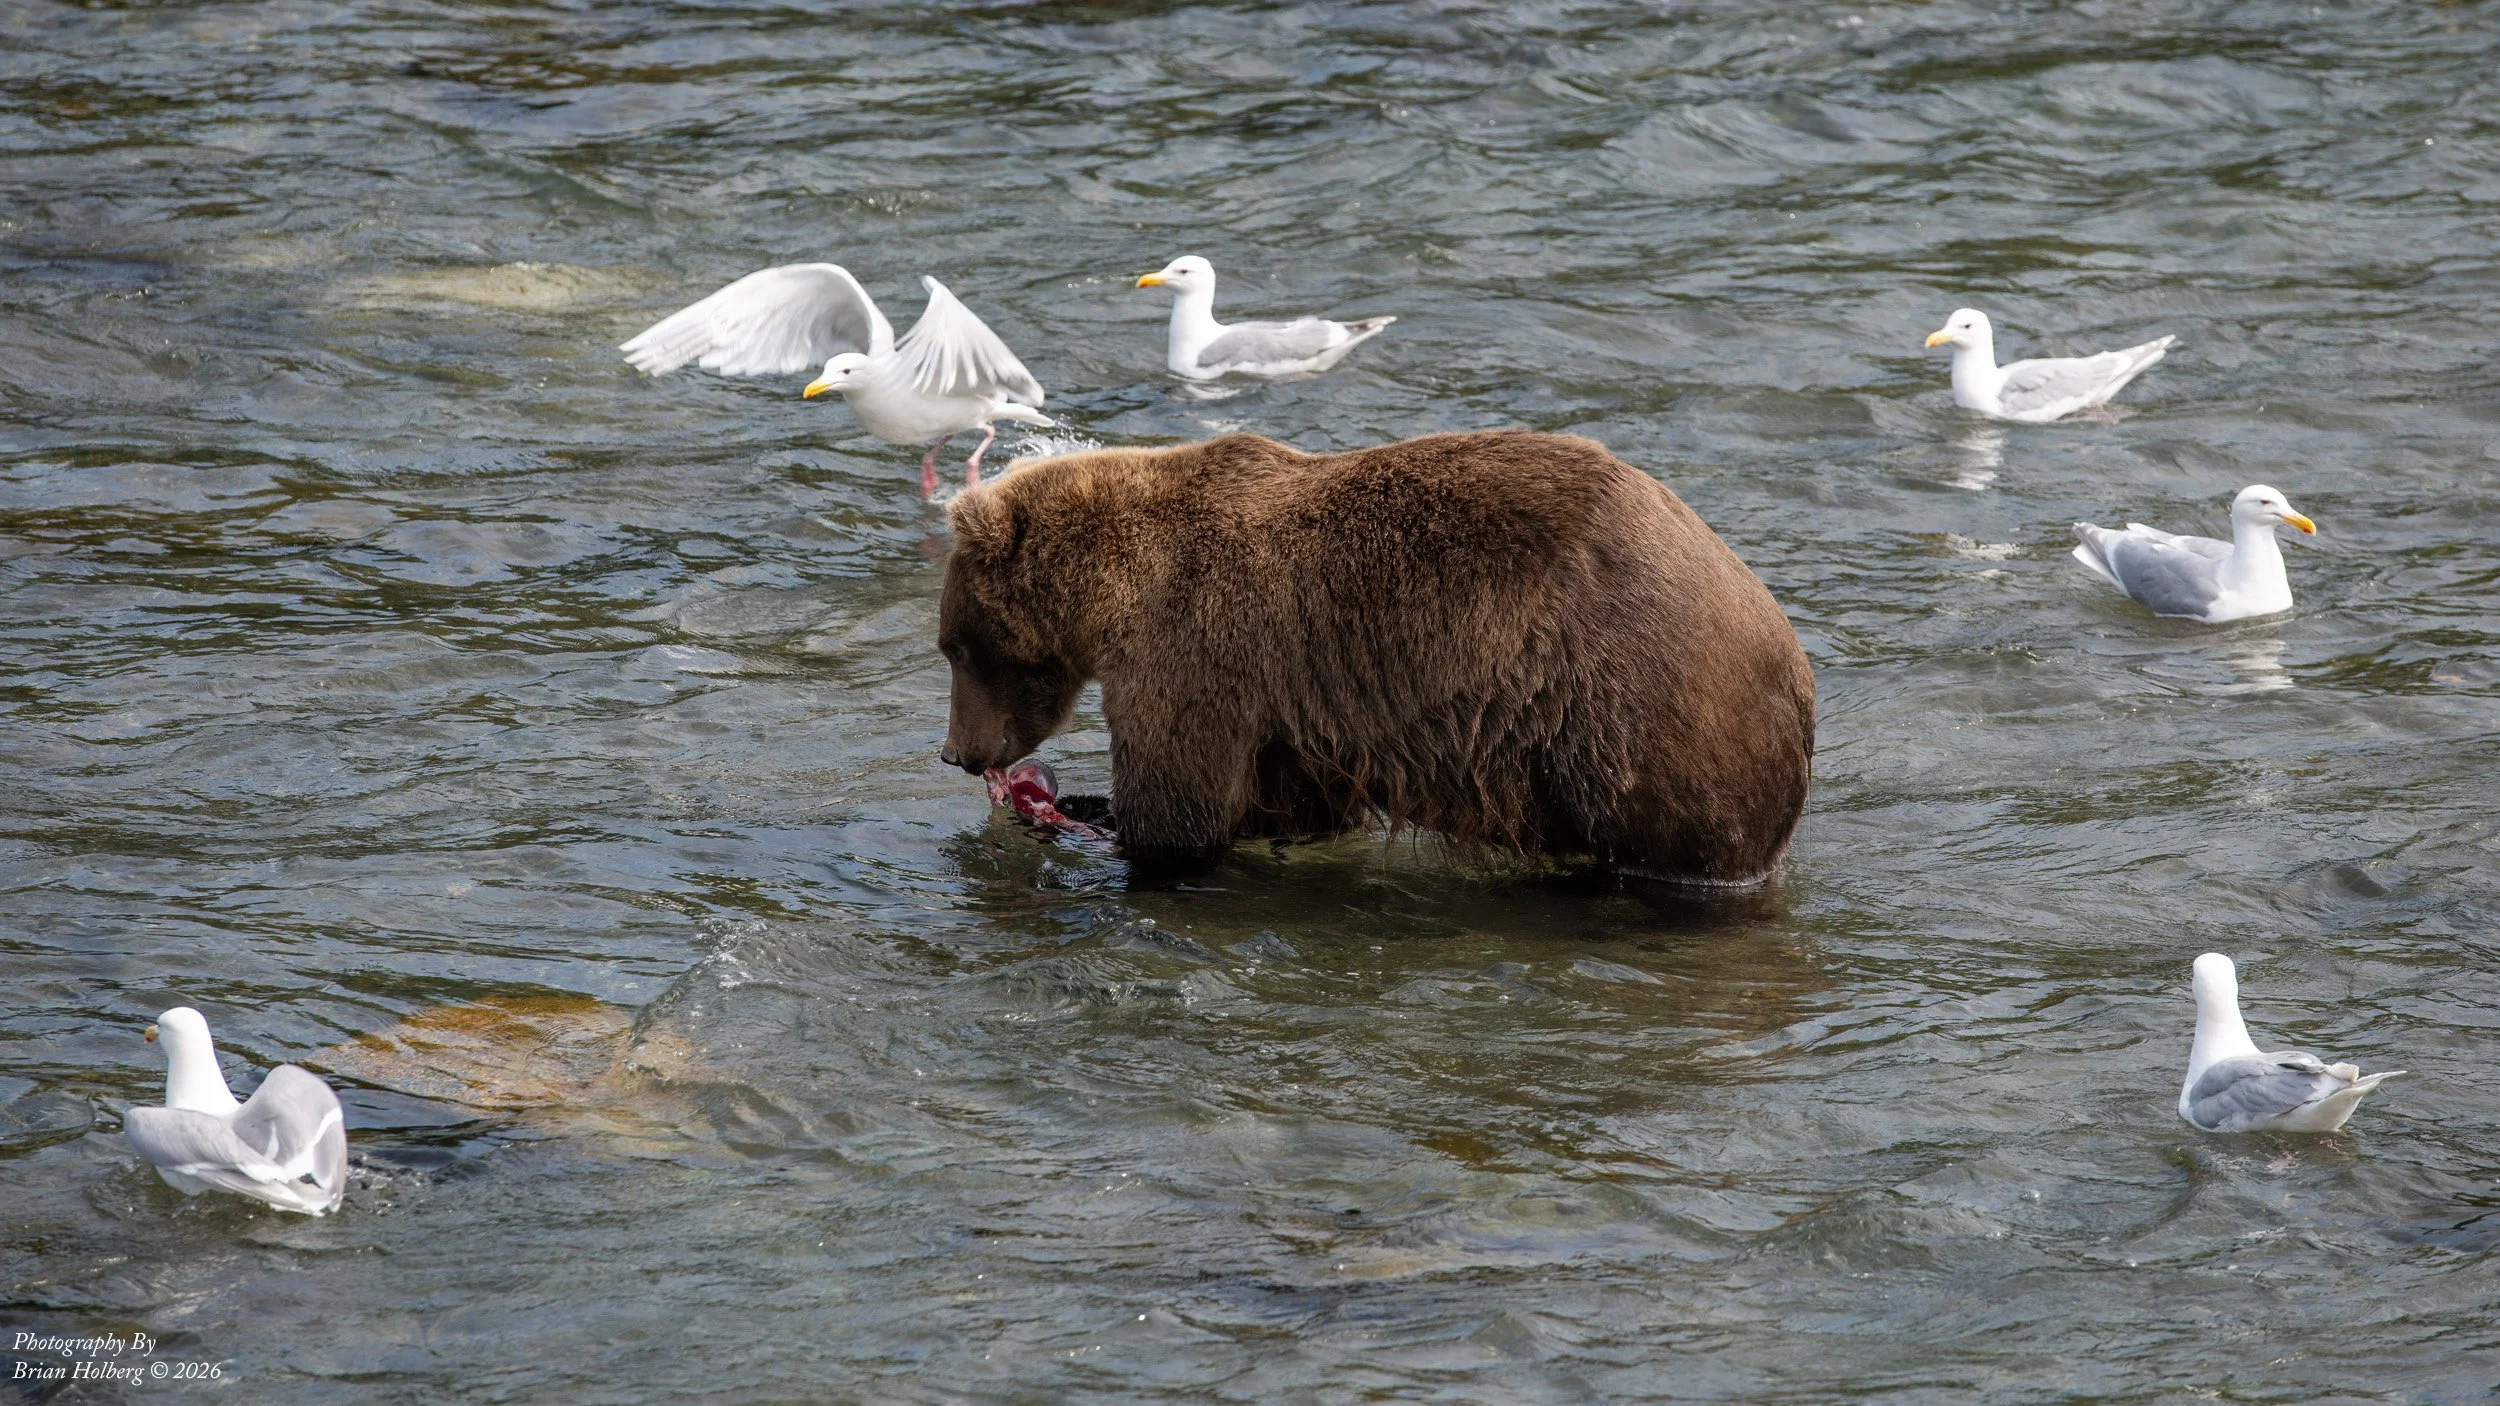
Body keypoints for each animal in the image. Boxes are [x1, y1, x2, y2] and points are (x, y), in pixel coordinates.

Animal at [936, 429, 1815, 885]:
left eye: (956, 648)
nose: (955, 753)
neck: (1116, 590)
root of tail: (1792, 661)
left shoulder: (1194, 650)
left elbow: (1178, 811)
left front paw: (1088, 817)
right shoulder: (1284, 713)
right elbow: (1281, 804)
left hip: (1636, 714)